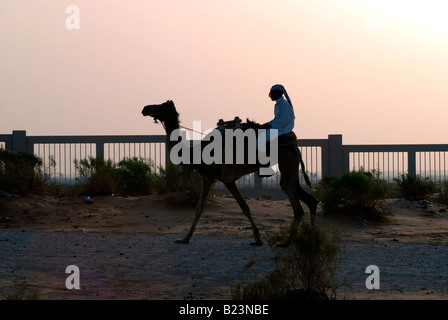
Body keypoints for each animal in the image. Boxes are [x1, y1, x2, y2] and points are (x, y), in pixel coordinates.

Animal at [141, 100, 318, 245]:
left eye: (163, 106)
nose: (145, 108)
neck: (198, 152)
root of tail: (294, 143)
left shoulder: (215, 176)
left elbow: (206, 208)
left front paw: (185, 238)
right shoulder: (220, 179)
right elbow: (235, 207)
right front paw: (257, 238)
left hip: (287, 164)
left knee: (296, 202)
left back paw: (288, 242)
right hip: (291, 168)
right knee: (310, 200)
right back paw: (310, 238)